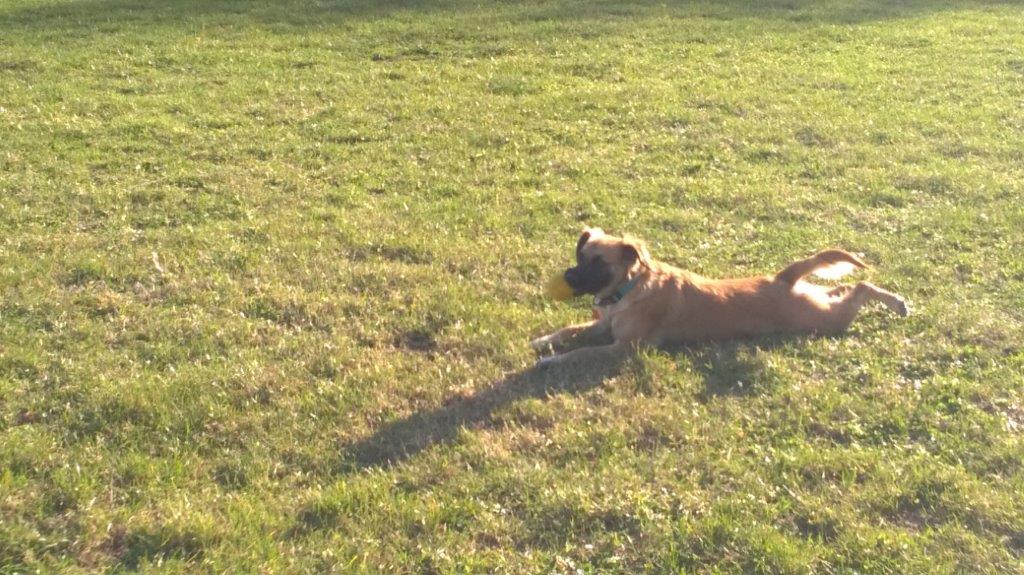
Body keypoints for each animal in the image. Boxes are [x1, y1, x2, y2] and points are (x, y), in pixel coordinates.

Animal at [530, 227, 909, 367]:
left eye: (599, 262)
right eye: (581, 255)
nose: (568, 277)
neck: (629, 288)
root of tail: (782, 278)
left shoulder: (624, 347)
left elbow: (581, 352)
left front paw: (551, 361)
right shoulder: (603, 326)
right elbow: (569, 331)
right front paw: (543, 340)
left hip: (825, 319)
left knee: (861, 288)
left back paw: (899, 303)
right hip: (819, 301)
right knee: (849, 288)